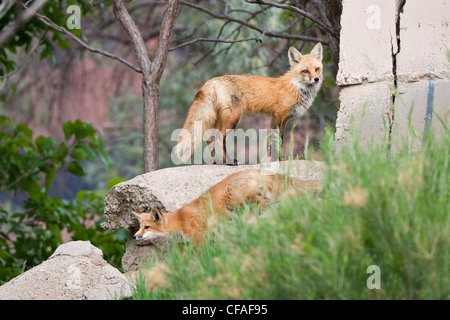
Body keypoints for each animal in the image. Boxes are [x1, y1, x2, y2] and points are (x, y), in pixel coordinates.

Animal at [132, 170, 318, 245]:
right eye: (140, 227)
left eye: (146, 227)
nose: (134, 236)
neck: (180, 220)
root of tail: (257, 171)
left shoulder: (200, 238)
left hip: (235, 200)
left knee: (263, 202)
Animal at [173, 42, 324, 165]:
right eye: (305, 71)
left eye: (317, 69)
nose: (316, 79)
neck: (297, 87)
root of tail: (213, 80)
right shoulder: (276, 115)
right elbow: (274, 141)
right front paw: (276, 160)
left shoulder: (285, 120)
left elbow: (280, 140)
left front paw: (281, 160)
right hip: (234, 117)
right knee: (219, 137)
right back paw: (228, 161)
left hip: (222, 118)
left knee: (210, 138)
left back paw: (217, 162)